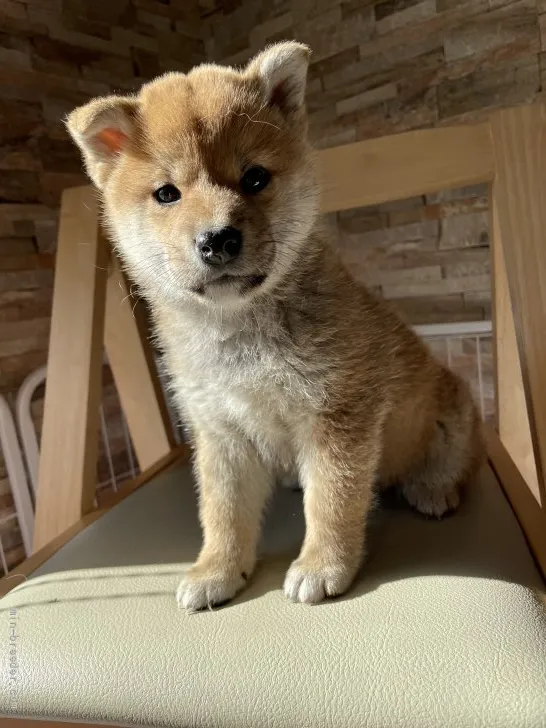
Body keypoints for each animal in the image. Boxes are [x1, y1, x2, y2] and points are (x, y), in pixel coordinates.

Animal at [67, 39, 480, 608]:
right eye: (167, 194)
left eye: (255, 178)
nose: (217, 238)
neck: (239, 332)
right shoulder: (220, 433)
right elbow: (222, 514)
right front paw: (217, 569)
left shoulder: (337, 417)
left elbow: (332, 501)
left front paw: (322, 565)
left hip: (453, 411)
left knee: (452, 460)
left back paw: (433, 488)